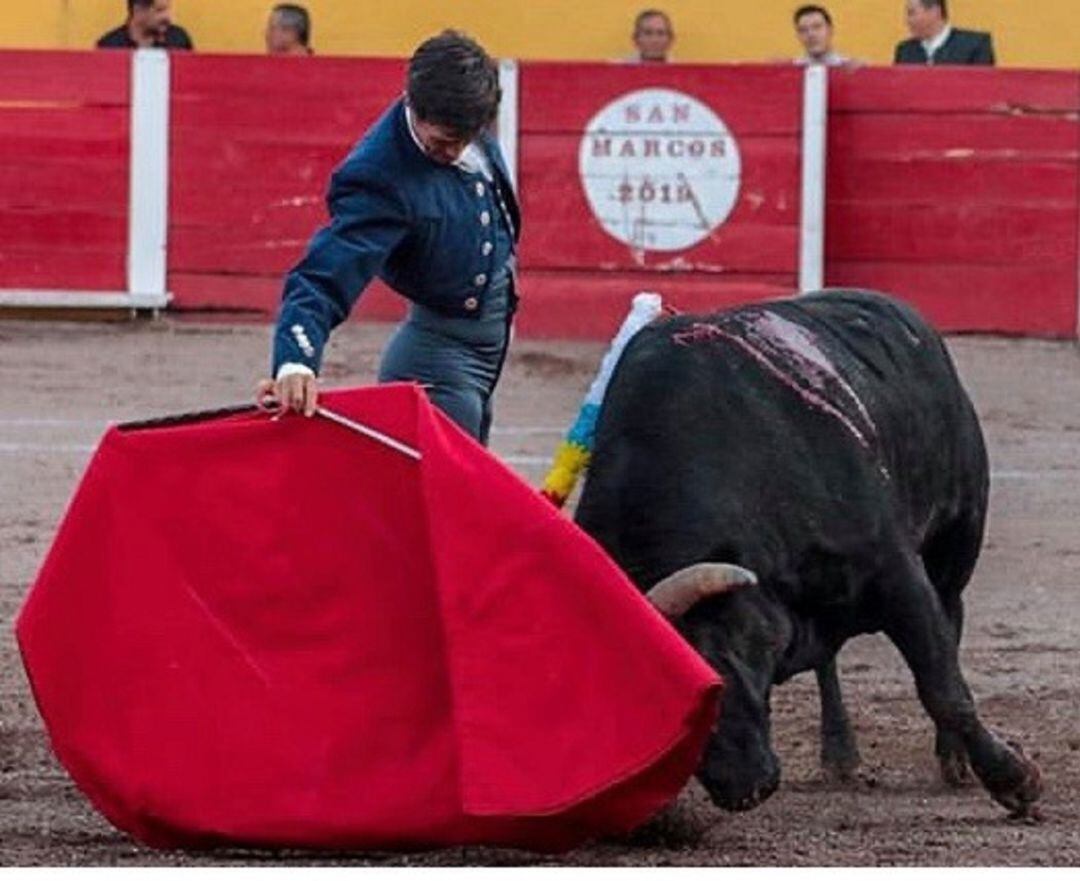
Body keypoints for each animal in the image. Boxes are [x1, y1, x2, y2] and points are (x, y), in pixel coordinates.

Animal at [578, 291, 1041, 820]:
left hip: (955, 538)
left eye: (711, 679)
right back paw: (839, 753)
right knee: (829, 661)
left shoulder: (896, 575)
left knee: (952, 614)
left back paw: (953, 759)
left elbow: (943, 686)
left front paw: (1015, 780)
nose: (742, 789)